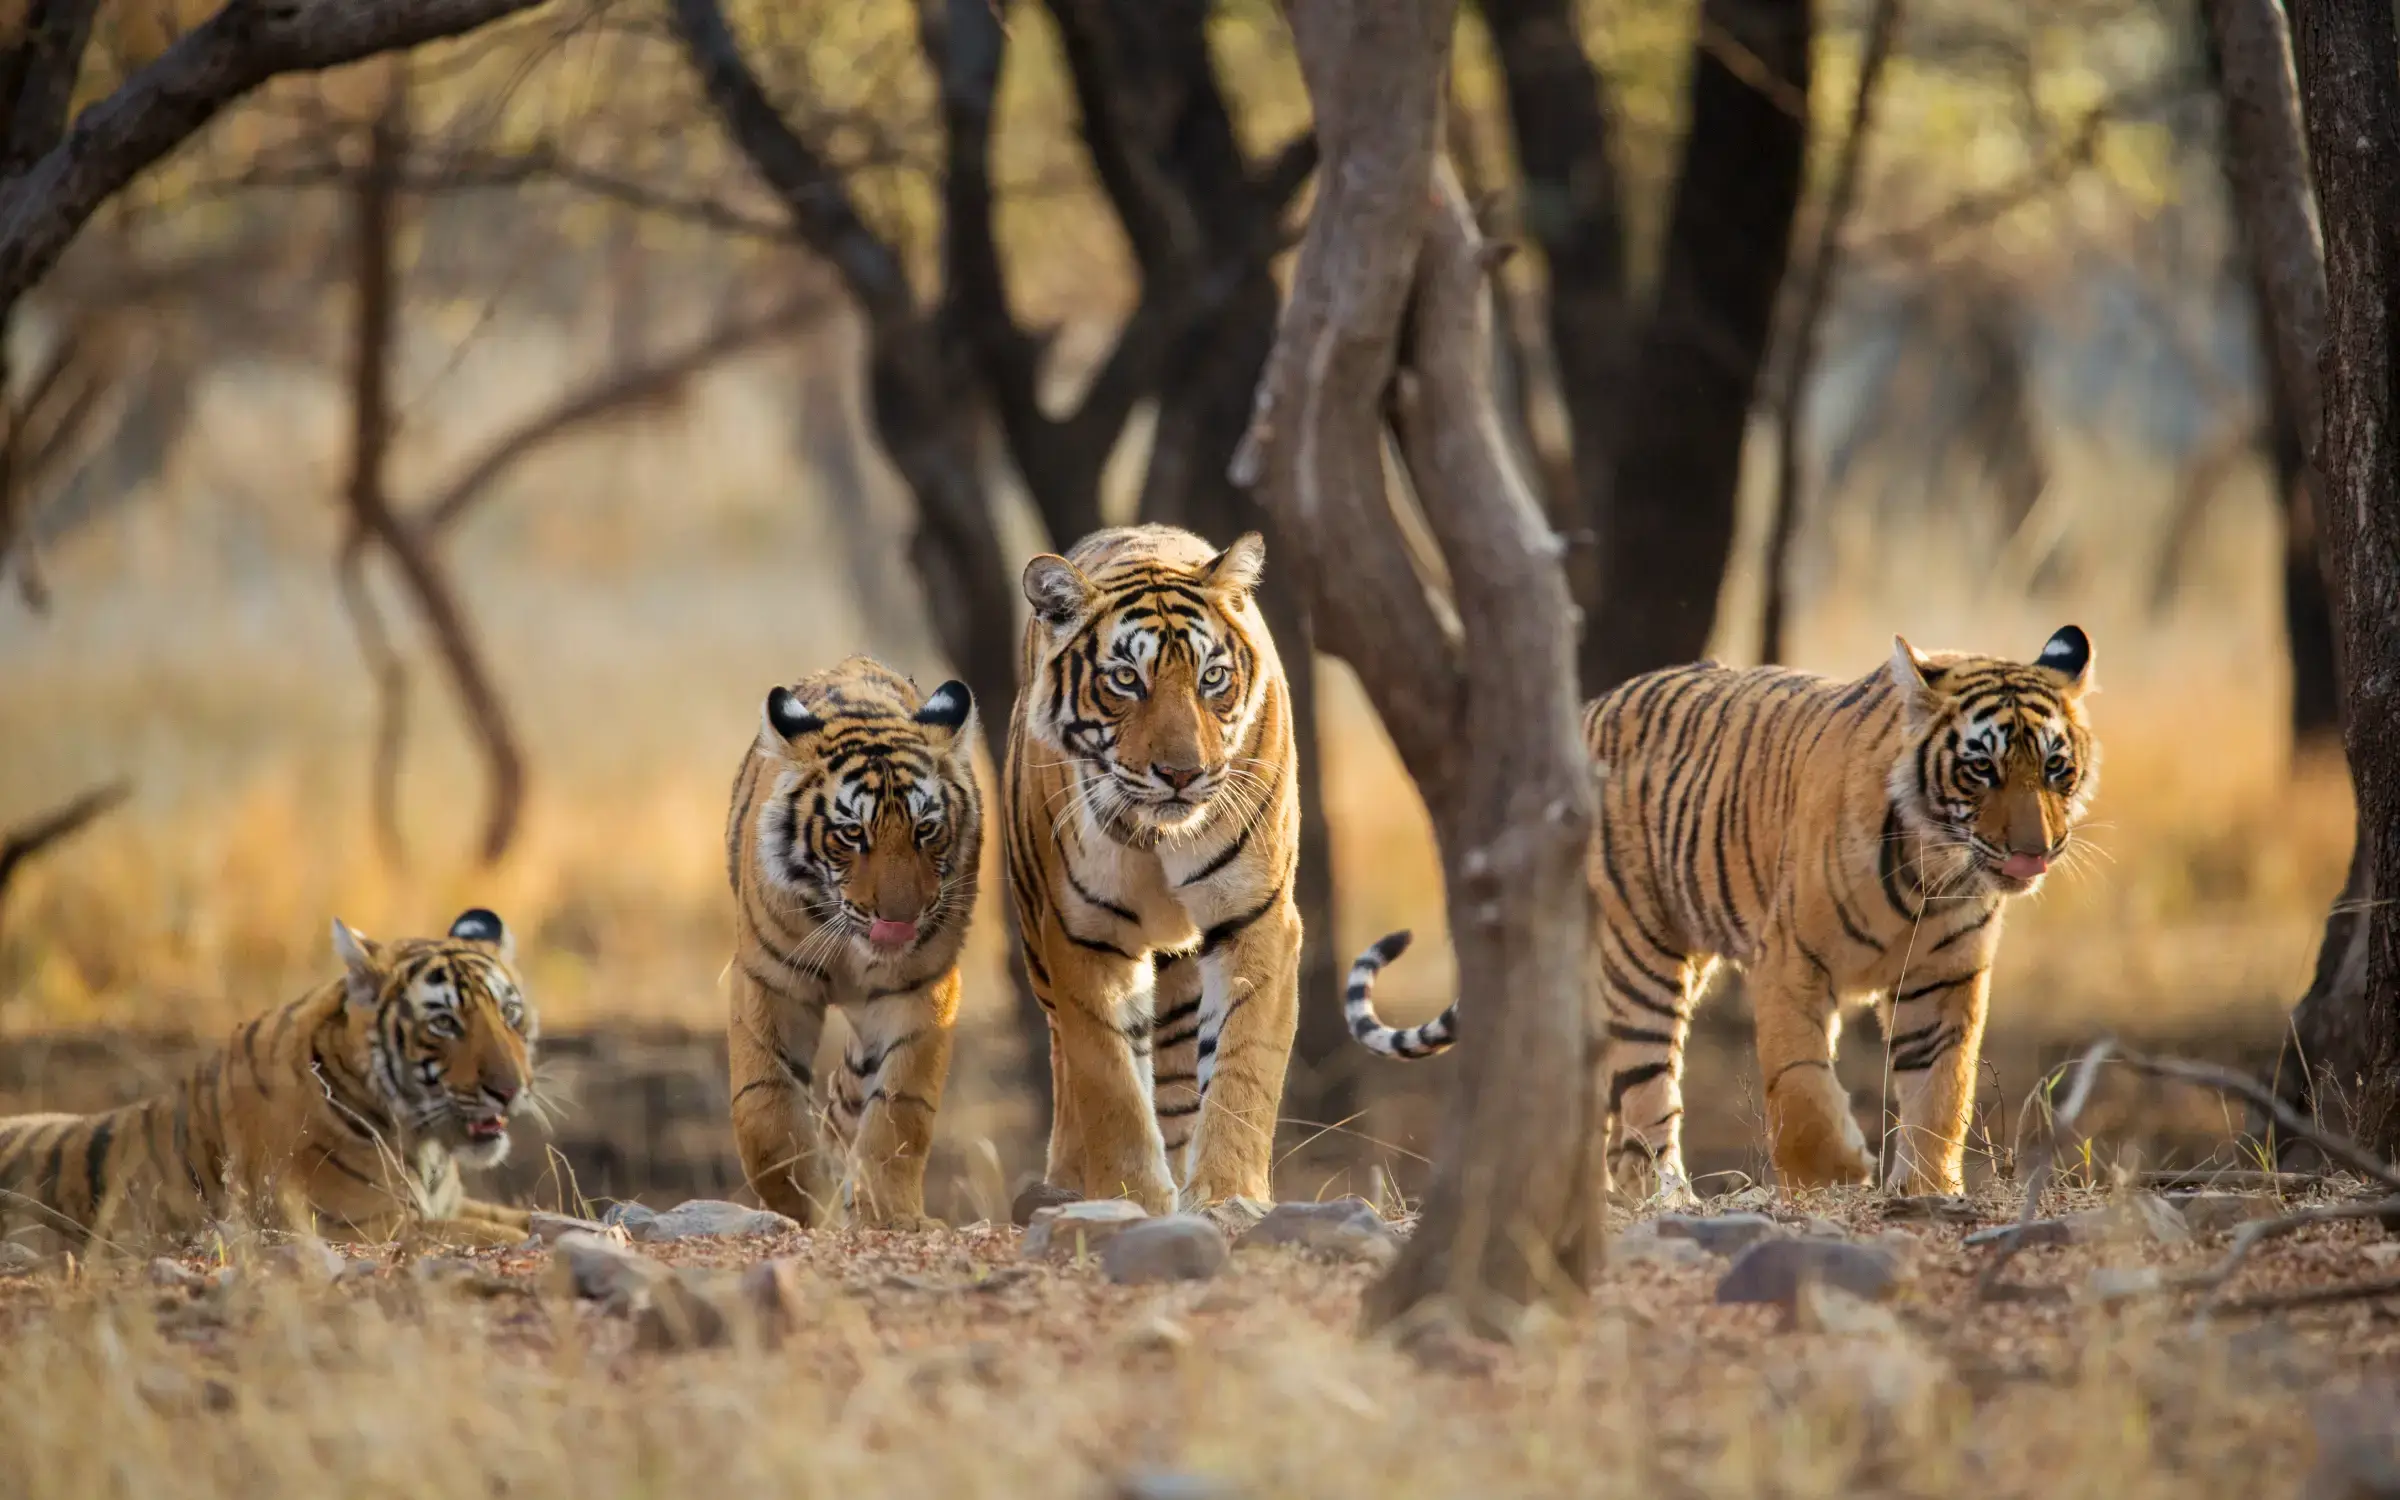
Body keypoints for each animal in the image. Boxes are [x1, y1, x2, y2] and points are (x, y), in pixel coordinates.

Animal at [0, 908, 537, 1253]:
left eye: (510, 1013)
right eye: (445, 1023)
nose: (511, 1091)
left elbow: (534, 1218)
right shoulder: (359, 1224)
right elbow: (494, 1234)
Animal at [725, 656, 982, 1231]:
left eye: (925, 830)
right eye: (851, 834)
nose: (900, 921)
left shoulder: (922, 988)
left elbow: (899, 1110)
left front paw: (888, 1215)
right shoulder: (768, 980)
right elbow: (764, 1107)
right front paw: (799, 1205)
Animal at [1004, 524, 1302, 1215]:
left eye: (1212, 677)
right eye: (1125, 680)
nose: (1182, 774)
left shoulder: (1256, 918)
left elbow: (1243, 1067)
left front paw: (1227, 1195)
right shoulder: (1085, 935)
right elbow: (1109, 1081)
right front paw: (1130, 1196)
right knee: (1067, 1064)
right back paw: (1063, 1182)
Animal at [1344, 626, 2100, 1200]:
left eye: (2055, 768)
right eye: (1981, 770)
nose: (2035, 852)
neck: (1934, 870)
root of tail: (1585, 712)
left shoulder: (1943, 980)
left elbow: (1943, 1090)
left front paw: (1927, 1189)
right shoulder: (1791, 960)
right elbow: (1799, 1083)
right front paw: (1834, 1175)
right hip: (1639, 956)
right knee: (1646, 1096)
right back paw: (1666, 1197)